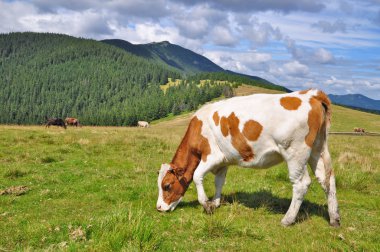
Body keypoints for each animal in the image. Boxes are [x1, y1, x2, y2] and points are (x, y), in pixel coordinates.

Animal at [156, 89, 340, 227]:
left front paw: (206, 205)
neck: (198, 129)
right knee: (327, 179)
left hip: (296, 152)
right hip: (318, 149)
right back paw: (334, 218)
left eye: (167, 185)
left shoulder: (212, 156)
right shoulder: (223, 162)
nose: (158, 208)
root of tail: (310, 94)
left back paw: (287, 219)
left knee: (301, 184)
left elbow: (197, 176)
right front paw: (215, 202)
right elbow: (219, 182)